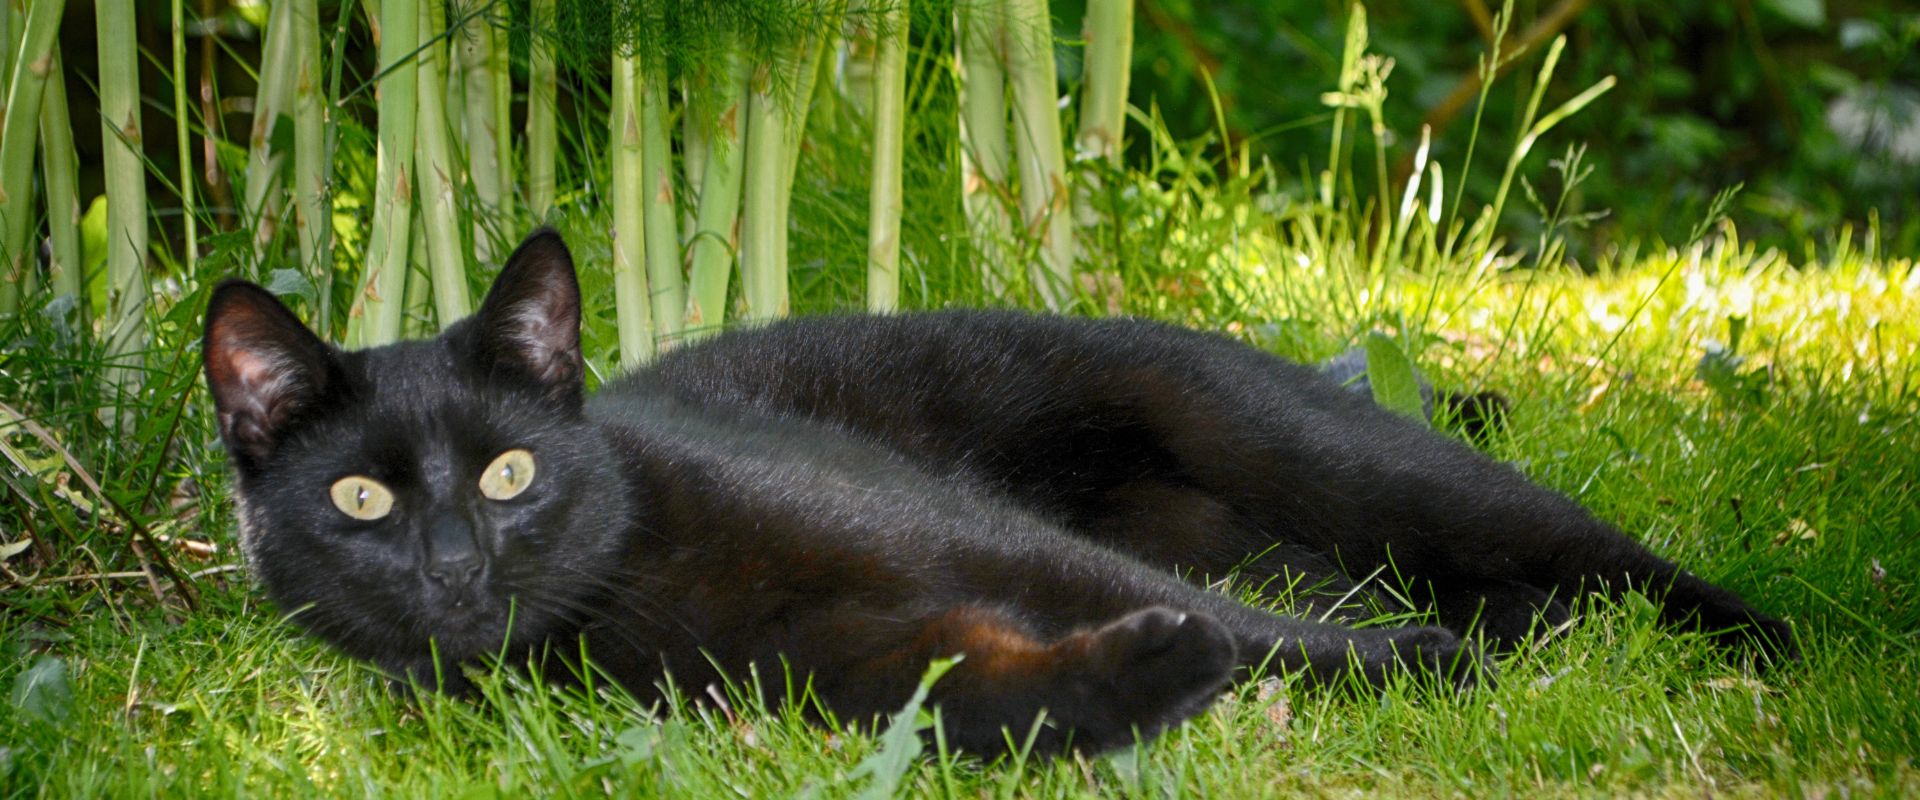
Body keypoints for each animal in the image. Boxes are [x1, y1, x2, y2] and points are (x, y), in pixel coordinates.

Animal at [202, 226, 1789, 755]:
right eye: (361, 503)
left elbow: (1203, 624)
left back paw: (1761, 644)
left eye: (510, 470)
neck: (632, 584)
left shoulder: (967, 532)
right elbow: (998, 694)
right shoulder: (849, 663)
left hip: (1330, 456)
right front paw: (1149, 680)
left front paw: (1413, 671)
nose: (454, 564)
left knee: (1575, 545)